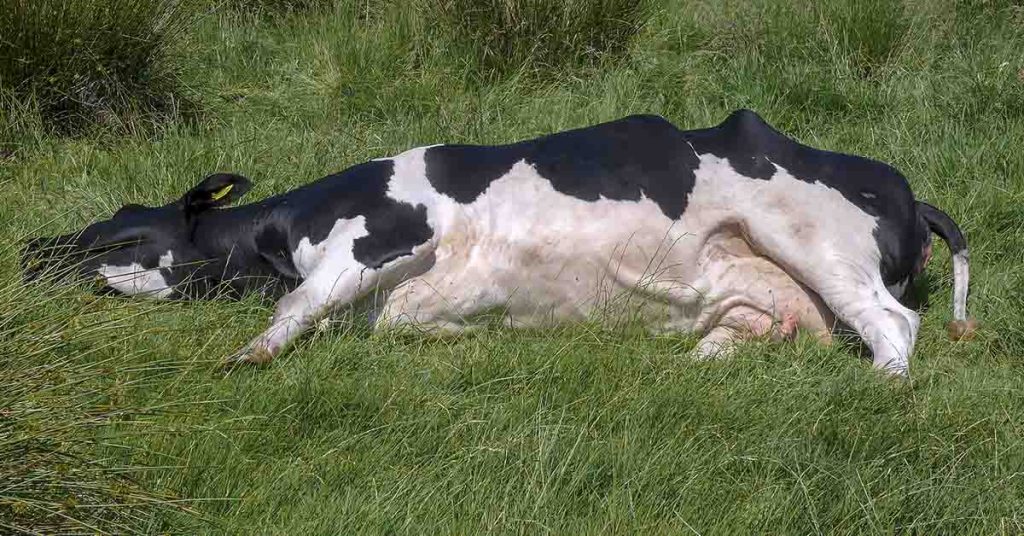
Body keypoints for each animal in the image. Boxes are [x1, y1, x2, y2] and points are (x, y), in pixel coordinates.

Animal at [22, 109, 975, 376]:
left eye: (119, 230)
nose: (29, 250)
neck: (278, 230)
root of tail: (903, 185)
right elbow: (398, 324)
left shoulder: (382, 236)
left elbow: (295, 305)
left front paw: (239, 358)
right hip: (754, 290)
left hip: (814, 237)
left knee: (894, 325)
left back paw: (881, 386)